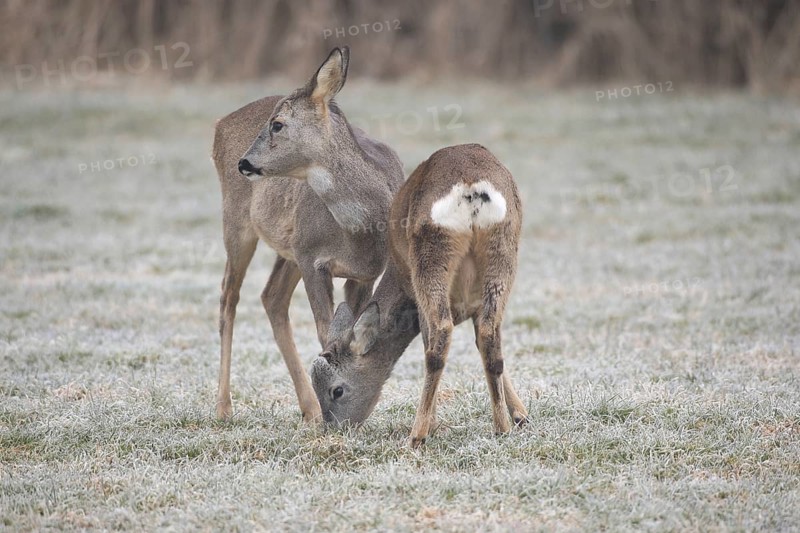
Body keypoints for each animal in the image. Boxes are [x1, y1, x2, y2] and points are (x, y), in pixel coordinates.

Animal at [211, 46, 404, 423]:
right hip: (239, 222)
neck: (362, 231)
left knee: (271, 298)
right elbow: (325, 333)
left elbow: (343, 333)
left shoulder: (363, 272)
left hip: (288, 248)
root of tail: (219, 124)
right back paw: (224, 407)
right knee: (229, 295)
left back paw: (308, 408)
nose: (244, 163)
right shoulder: (312, 256)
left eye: (277, 124)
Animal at [310, 143, 528, 447]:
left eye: (337, 390)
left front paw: (433, 426)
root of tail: (471, 188)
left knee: (439, 337)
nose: (333, 430)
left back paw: (417, 435)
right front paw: (520, 415)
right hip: (503, 252)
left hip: (430, 257)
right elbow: (482, 343)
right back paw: (501, 428)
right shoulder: (475, 305)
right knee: (490, 335)